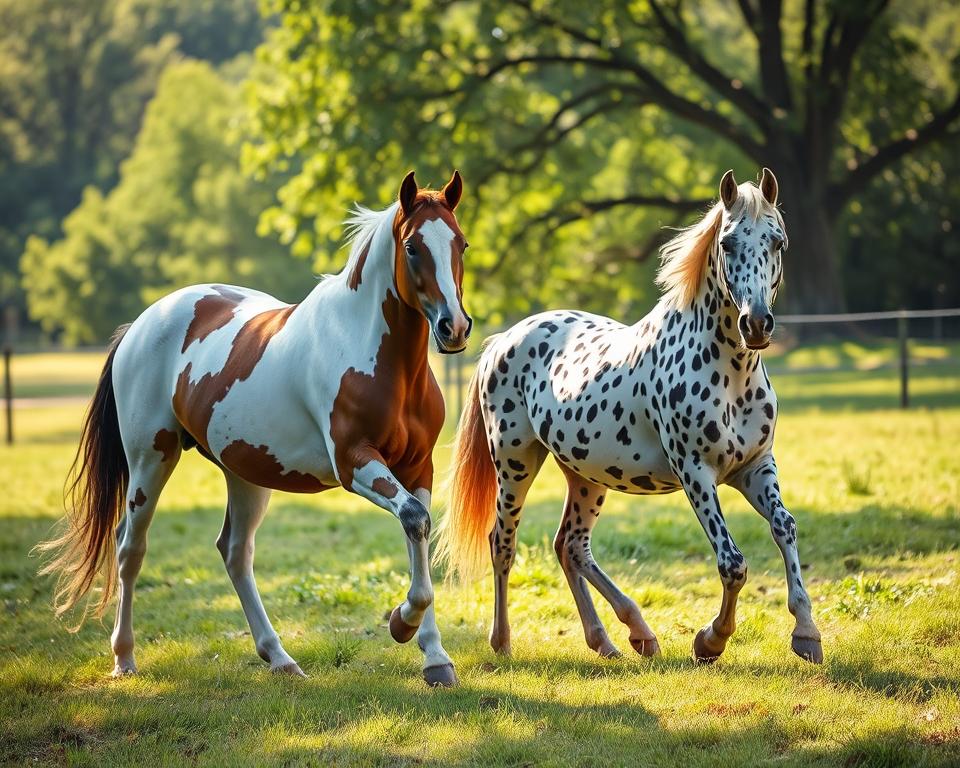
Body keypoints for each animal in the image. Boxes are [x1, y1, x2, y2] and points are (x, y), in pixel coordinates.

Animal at [39, 170, 471, 687]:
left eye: (461, 243)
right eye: (411, 247)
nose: (454, 327)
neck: (376, 356)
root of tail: (140, 325)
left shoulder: (418, 466)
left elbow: (418, 530)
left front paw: (434, 656)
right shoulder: (355, 463)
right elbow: (414, 522)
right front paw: (401, 624)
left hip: (244, 473)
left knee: (234, 551)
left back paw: (279, 656)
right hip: (150, 460)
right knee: (130, 549)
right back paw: (124, 658)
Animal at [437, 168, 823, 666]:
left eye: (778, 242)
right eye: (728, 242)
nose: (756, 325)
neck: (732, 374)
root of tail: (503, 339)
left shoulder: (755, 467)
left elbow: (784, 526)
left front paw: (807, 632)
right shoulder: (697, 473)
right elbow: (732, 563)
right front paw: (710, 640)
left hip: (585, 475)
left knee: (571, 547)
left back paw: (621, 636)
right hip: (515, 463)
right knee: (503, 543)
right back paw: (502, 641)